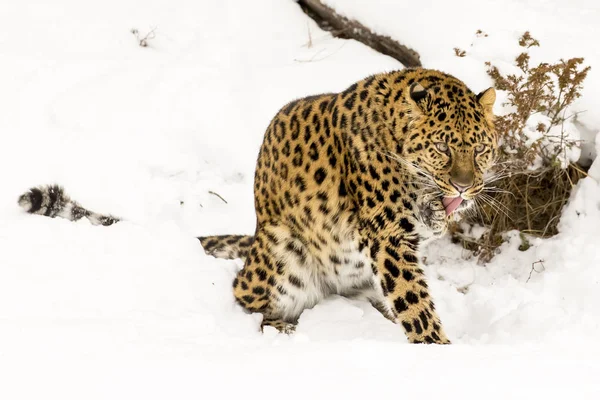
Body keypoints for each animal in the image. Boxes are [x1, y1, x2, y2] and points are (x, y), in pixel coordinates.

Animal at [19, 68, 496, 344]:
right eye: (442, 148)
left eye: (480, 150)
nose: (464, 186)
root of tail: (255, 236)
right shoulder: (389, 236)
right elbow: (415, 302)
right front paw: (436, 350)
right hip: (284, 259)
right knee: (244, 297)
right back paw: (282, 328)